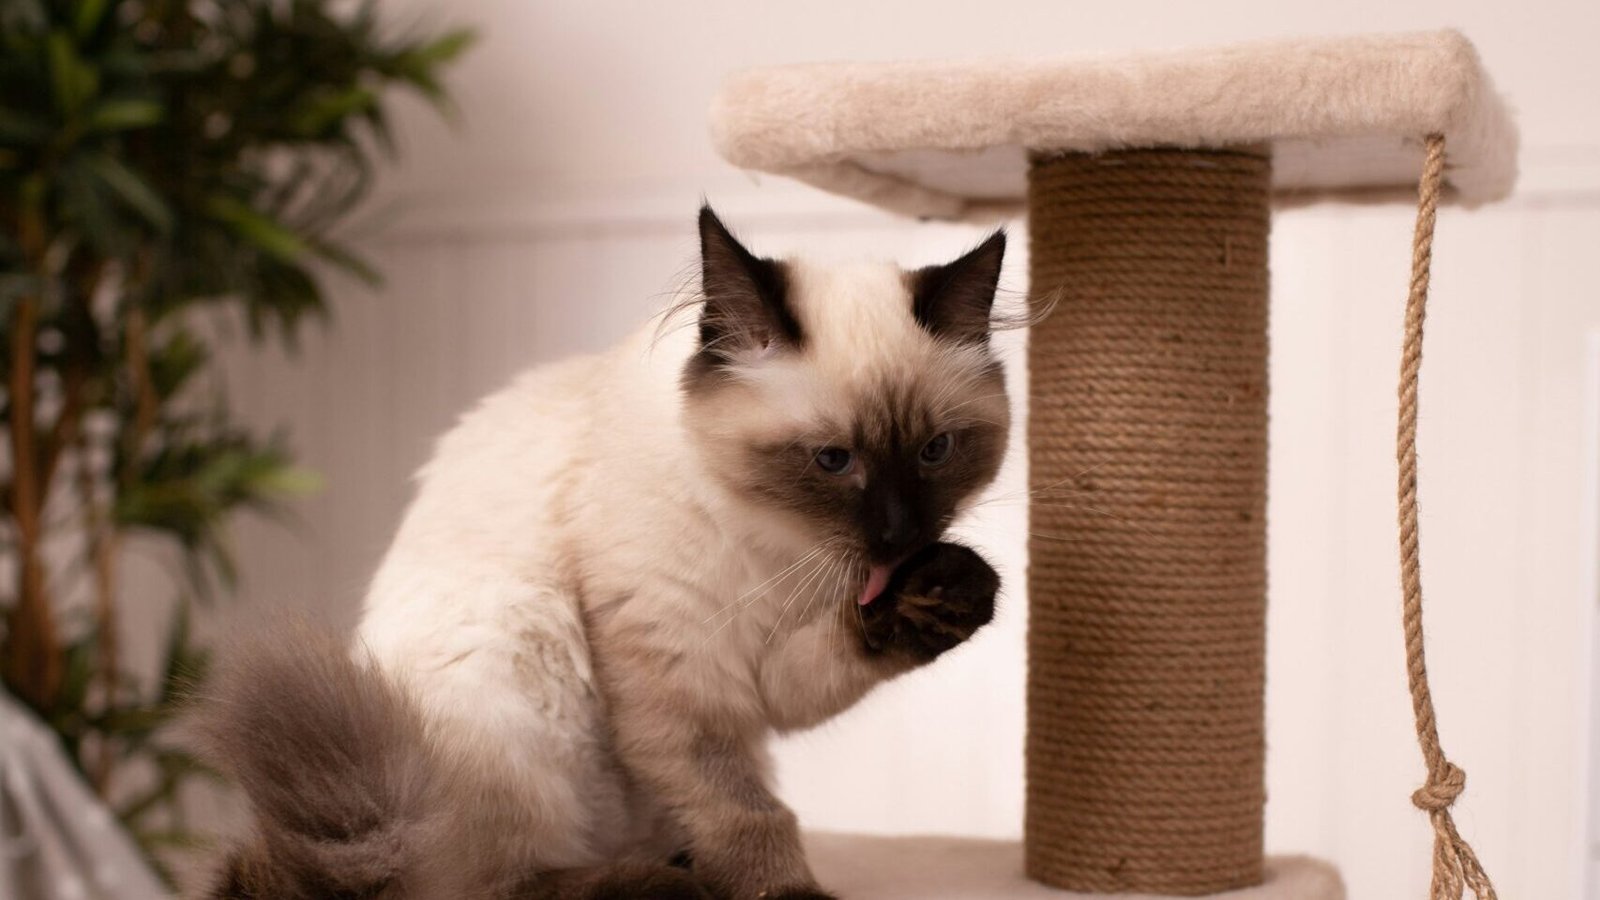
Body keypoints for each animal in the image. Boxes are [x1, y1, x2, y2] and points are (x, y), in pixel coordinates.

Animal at [193, 206, 1004, 890]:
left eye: (935, 451)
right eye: (834, 461)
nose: (900, 536)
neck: (776, 543)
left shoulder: (768, 679)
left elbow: (840, 657)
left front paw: (949, 591)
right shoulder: (681, 682)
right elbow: (750, 816)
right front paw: (788, 893)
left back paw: (677, 867)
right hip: (516, 673)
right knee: (497, 885)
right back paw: (663, 885)